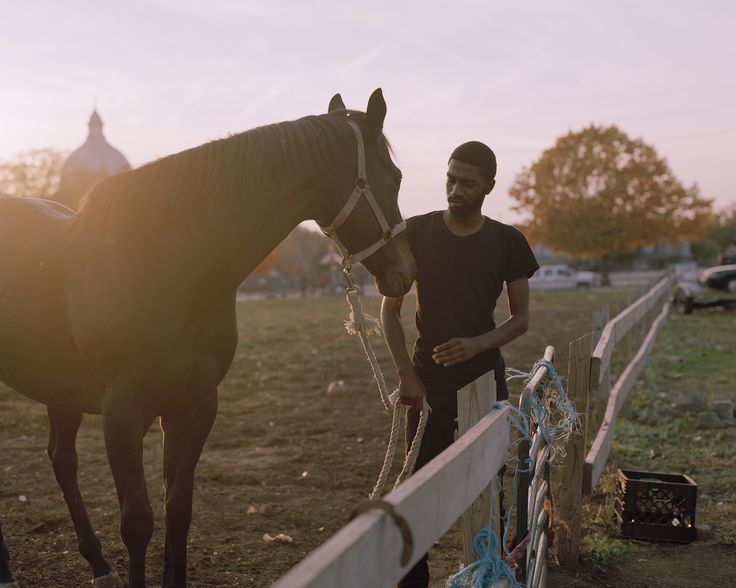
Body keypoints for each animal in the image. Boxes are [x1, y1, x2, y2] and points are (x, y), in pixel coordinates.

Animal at [0, 88, 414, 588]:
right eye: (395, 176)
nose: (405, 271)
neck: (167, 267)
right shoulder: (122, 414)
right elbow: (137, 522)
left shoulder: (194, 405)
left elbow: (178, 510)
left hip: (59, 389)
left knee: (62, 460)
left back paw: (97, 564)